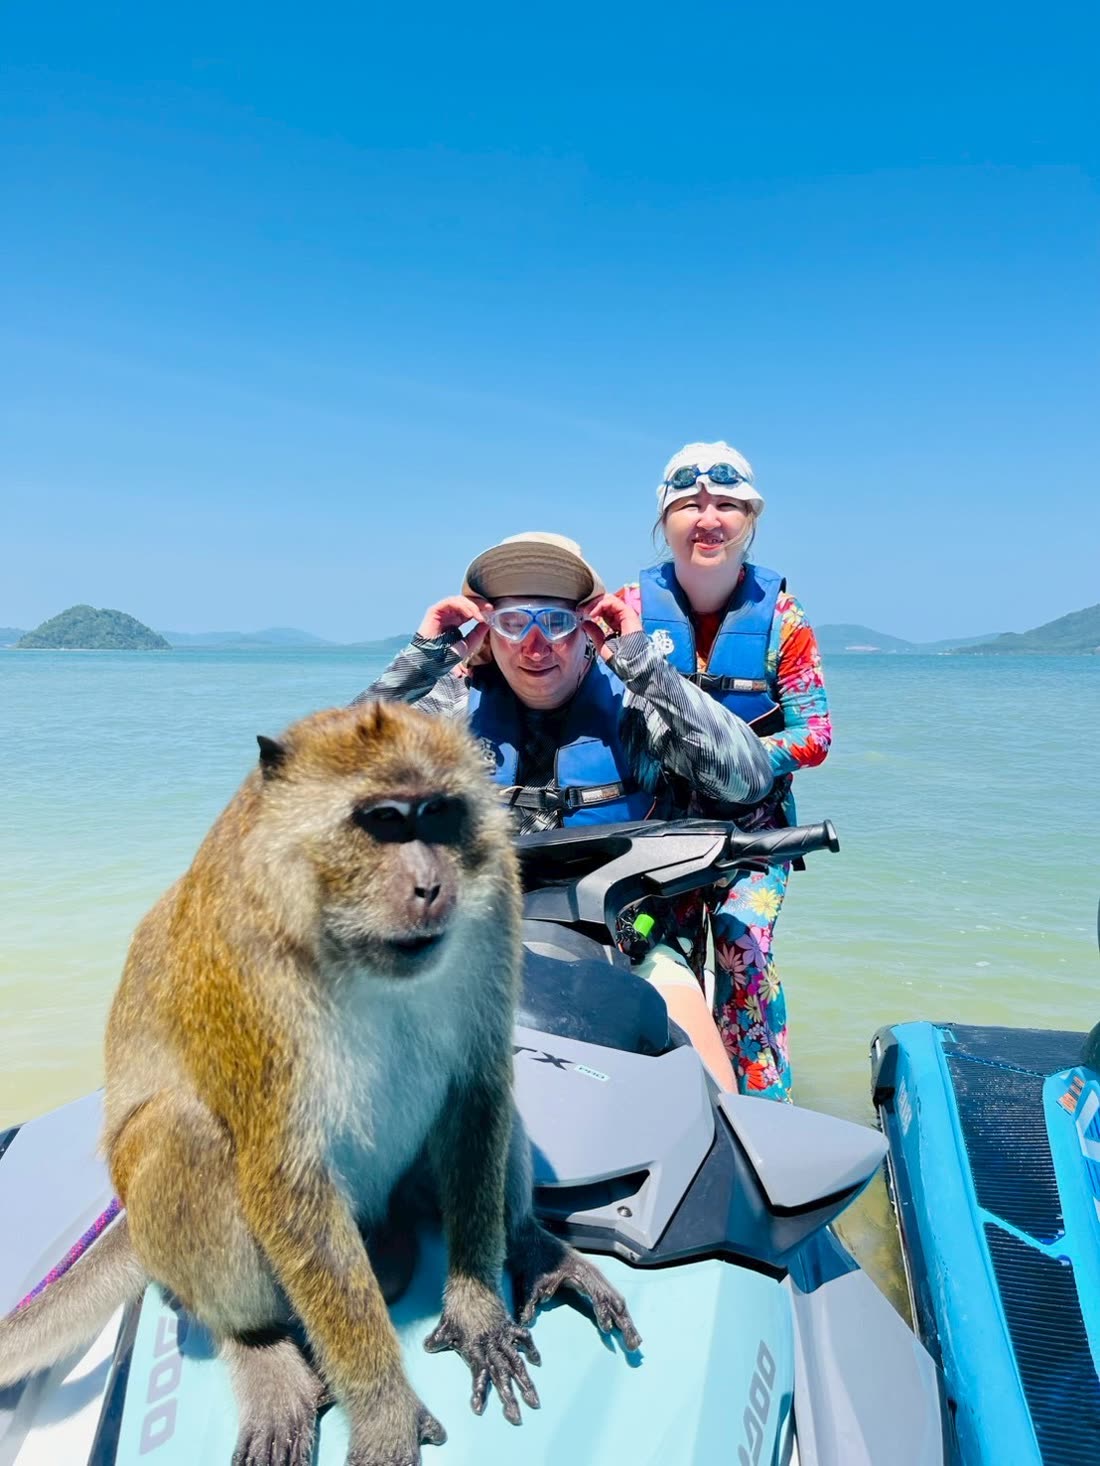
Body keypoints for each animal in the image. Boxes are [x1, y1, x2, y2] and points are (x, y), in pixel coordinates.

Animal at [0, 700, 639, 1466]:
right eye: (383, 822)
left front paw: (478, 1308)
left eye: (438, 815)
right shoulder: (248, 962)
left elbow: (478, 1089)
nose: (430, 886)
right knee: (186, 1133)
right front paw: (384, 1408)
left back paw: (529, 1241)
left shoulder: (493, 908)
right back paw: (262, 1351)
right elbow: (285, 1174)